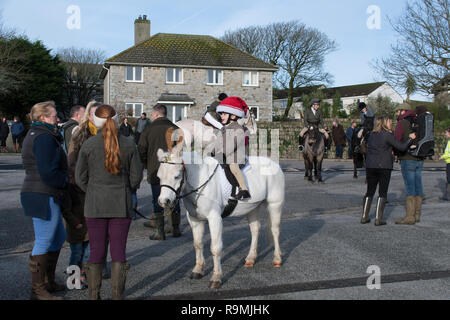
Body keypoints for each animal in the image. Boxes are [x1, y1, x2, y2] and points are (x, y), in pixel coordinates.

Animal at [157, 129, 284, 288]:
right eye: (159, 177)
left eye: (176, 176)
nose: (164, 201)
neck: (200, 180)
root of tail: (274, 164)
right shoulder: (194, 220)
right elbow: (198, 244)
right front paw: (198, 270)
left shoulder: (214, 219)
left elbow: (215, 248)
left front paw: (216, 277)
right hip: (252, 207)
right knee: (255, 229)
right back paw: (250, 259)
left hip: (275, 205)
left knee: (275, 230)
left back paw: (277, 259)